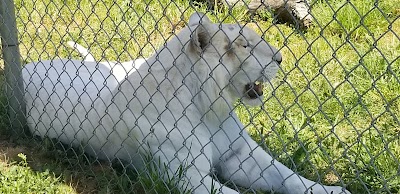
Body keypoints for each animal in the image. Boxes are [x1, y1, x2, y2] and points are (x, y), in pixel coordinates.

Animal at [24, 12, 350, 194]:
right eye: (245, 45)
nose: (281, 59)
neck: (210, 109)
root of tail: (29, 65)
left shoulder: (239, 153)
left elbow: (289, 177)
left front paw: (334, 190)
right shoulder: (186, 175)